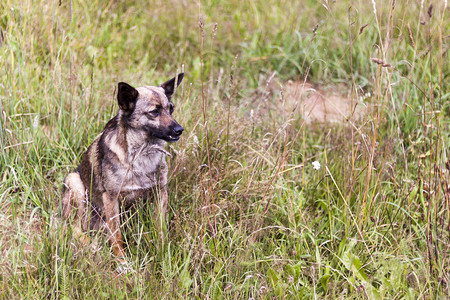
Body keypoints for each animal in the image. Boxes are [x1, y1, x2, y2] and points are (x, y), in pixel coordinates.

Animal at [61, 73, 185, 260]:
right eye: (154, 112)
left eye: (171, 109)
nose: (179, 130)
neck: (142, 154)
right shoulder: (111, 198)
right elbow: (117, 236)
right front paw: (122, 261)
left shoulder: (160, 193)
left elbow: (160, 229)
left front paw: (163, 253)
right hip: (75, 184)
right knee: (74, 229)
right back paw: (92, 247)